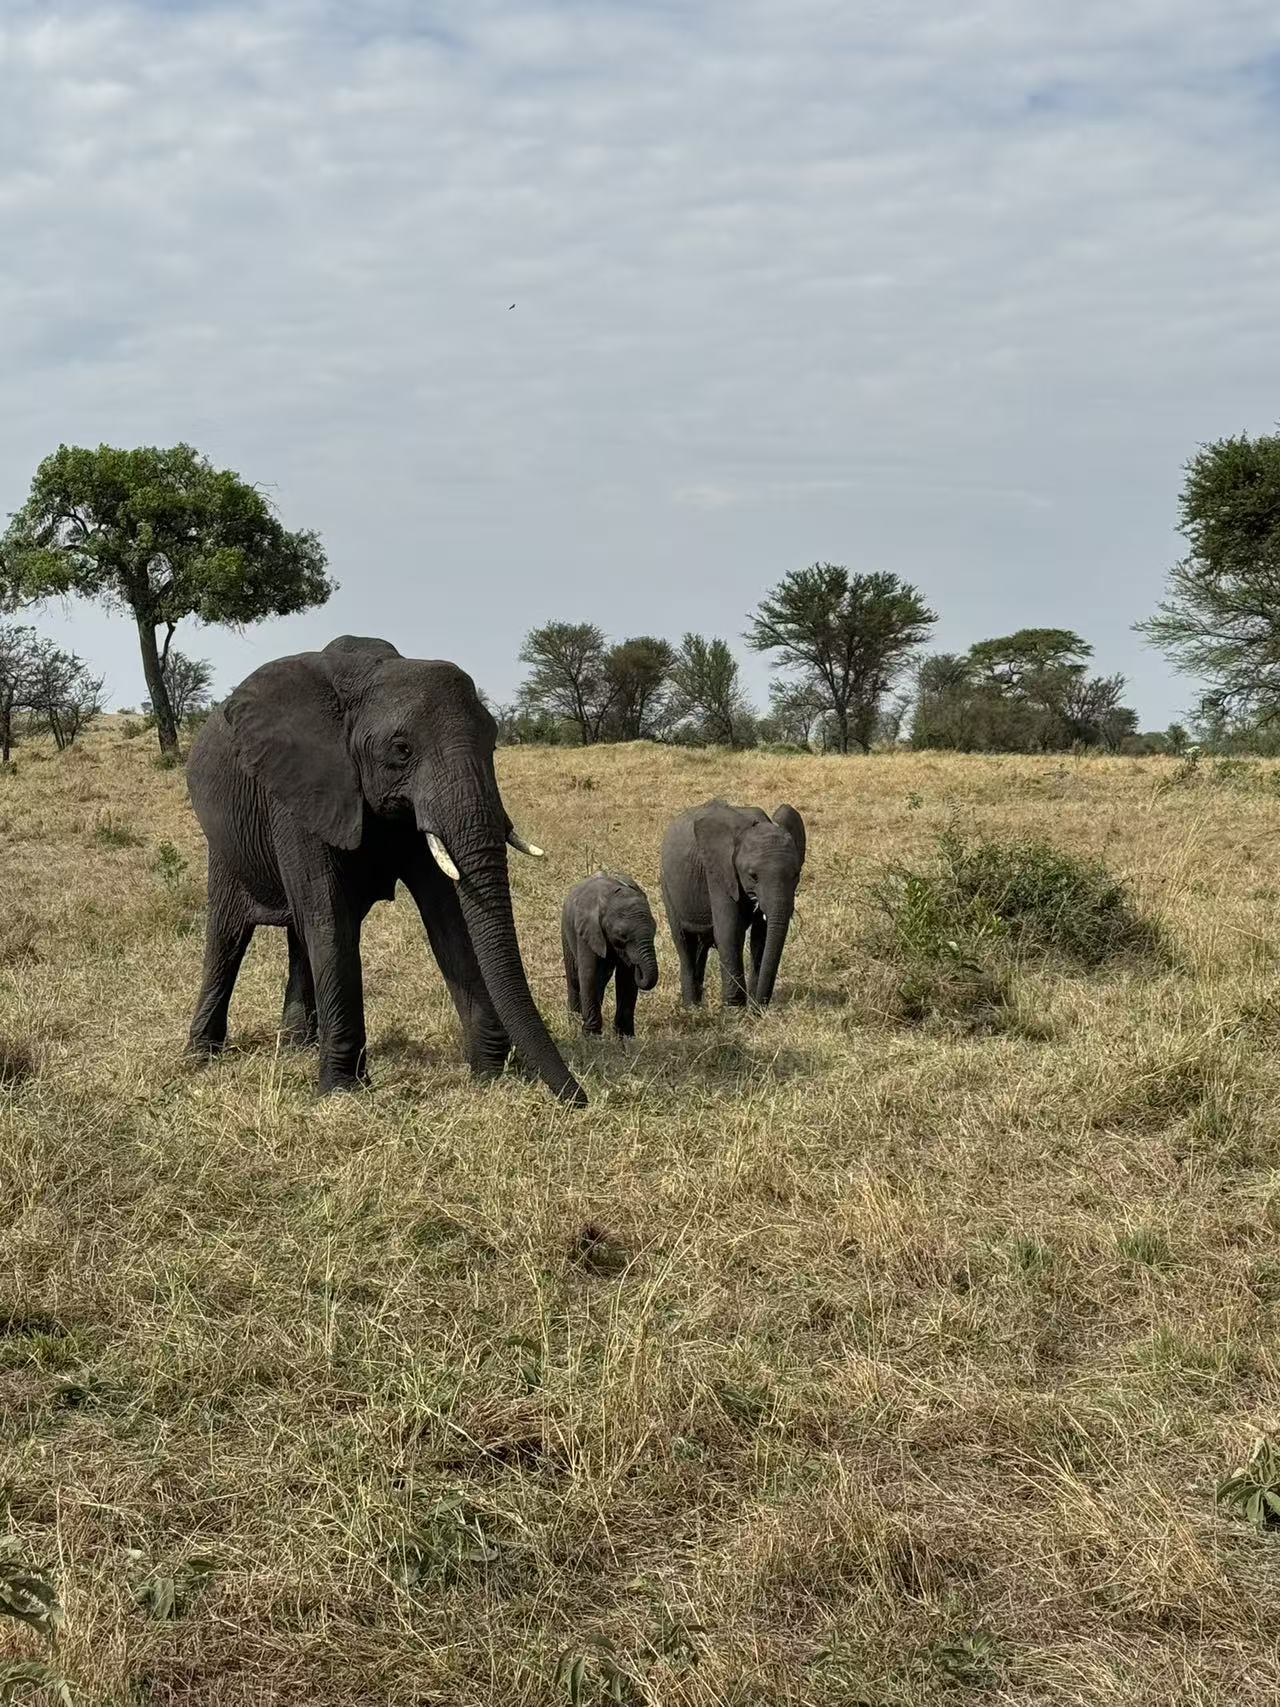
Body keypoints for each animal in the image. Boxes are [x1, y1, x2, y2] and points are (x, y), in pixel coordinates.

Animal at [184, 635, 586, 1106]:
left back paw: (298, 1044)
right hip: (226, 845)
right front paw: (342, 1093)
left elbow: (449, 915)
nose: (580, 1099)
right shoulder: (300, 791)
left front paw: (491, 1073)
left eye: (492, 745)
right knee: (229, 935)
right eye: (401, 750)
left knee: (299, 932)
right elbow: (329, 918)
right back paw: (200, 1055)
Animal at [561, 872, 659, 1038]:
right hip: (566, 930)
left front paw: (626, 1037)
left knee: (601, 980)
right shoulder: (588, 932)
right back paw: (573, 1023)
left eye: (654, 929)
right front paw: (591, 1037)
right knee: (575, 978)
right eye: (622, 935)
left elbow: (626, 979)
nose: (638, 967)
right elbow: (589, 974)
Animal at [660, 798, 806, 1010]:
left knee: (701, 947)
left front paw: (754, 1008)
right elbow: (728, 932)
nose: (760, 1006)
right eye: (753, 876)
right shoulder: (719, 871)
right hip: (667, 887)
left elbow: (761, 936)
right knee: (683, 942)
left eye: (796, 874)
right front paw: (735, 1010)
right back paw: (692, 1009)